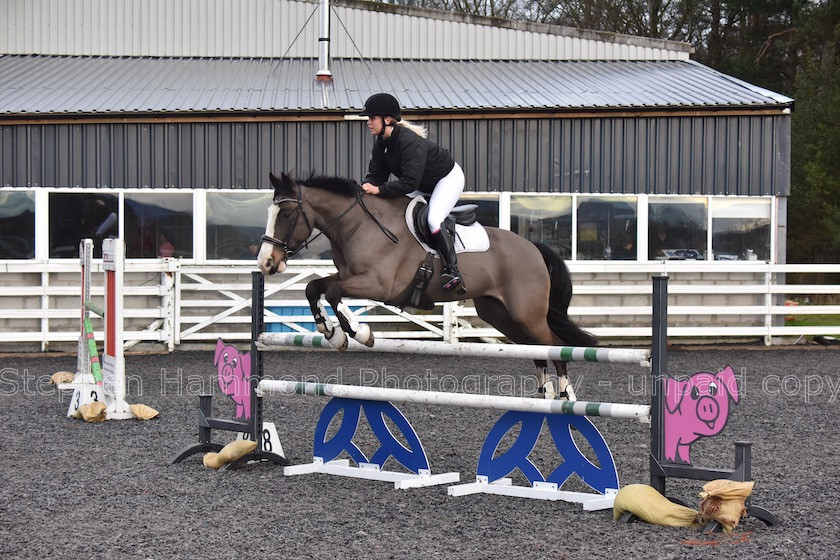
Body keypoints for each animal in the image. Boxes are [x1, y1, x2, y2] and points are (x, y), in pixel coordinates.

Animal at [260, 173, 592, 400]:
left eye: (286, 214)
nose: (266, 263)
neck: (357, 225)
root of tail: (534, 248)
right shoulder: (349, 277)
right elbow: (314, 288)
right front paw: (331, 333)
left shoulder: (377, 285)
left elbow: (332, 292)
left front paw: (359, 332)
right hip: (499, 313)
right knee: (533, 348)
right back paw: (545, 393)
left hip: (527, 313)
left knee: (553, 344)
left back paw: (566, 394)